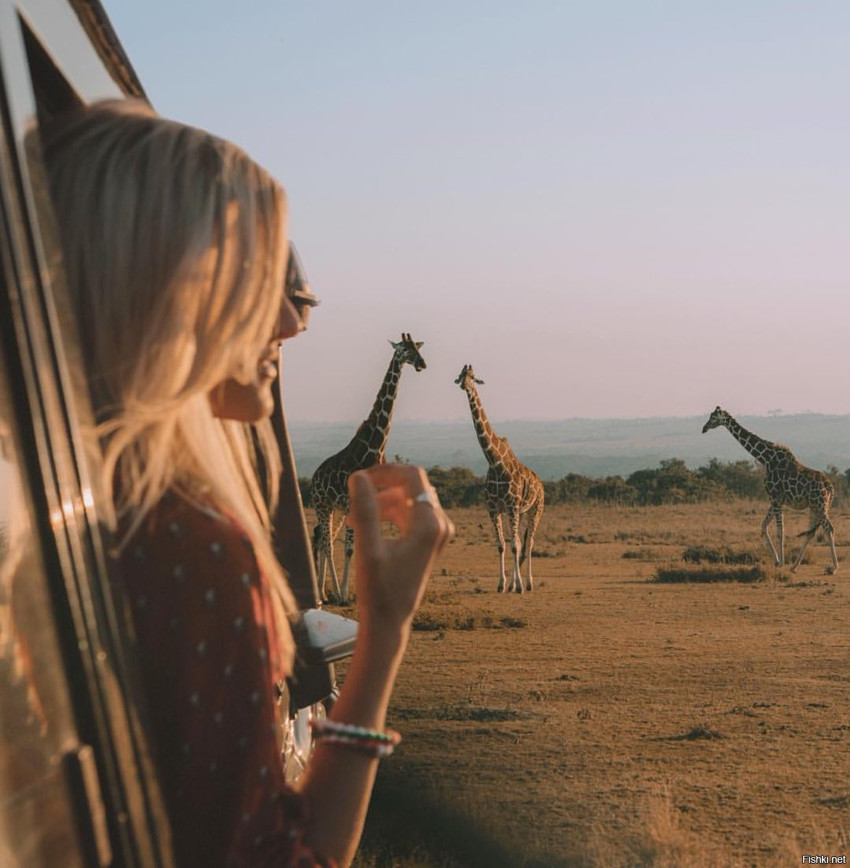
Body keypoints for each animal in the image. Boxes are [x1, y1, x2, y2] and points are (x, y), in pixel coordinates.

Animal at [310, 332, 424, 604]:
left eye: (418, 348)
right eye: (405, 349)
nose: (422, 364)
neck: (375, 448)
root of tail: (314, 477)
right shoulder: (353, 502)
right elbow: (350, 548)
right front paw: (343, 594)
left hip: (333, 508)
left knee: (322, 538)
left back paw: (322, 592)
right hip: (322, 504)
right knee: (327, 542)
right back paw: (327, 594)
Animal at [458, 362, 544, 592]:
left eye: (473, 377)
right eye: (461, 375)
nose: (463, 385)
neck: (495, 463)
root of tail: (541, 484)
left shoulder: (512, 506)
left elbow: (515, 546)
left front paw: (519, 586)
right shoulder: (494, 507)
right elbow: (502, 545)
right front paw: (502, 584)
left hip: (535, 509)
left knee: (529, 543)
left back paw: (529, 583)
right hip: (519, 511)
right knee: (520, 541)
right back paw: (515, 583)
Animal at [704, 406, 836, 576]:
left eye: (713, 417)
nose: (704, 428)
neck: (766, 458)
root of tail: (830, 486)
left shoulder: (775, 497)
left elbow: (780, 530)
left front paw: (782, 562)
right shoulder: (775, 500)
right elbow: (763, 527)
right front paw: (777, 561)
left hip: (820, 505)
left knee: (829, 528)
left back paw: (833, 567)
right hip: (814, 506)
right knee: (811, 533)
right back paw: (795, 567)